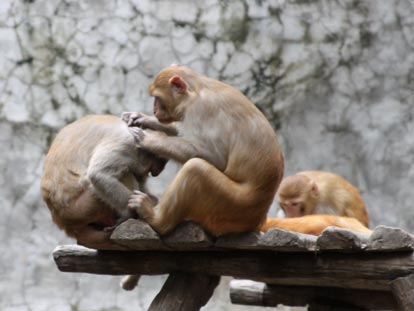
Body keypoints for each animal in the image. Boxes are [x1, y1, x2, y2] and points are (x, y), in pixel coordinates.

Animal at [125, 65, 284, 236]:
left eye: (157, 98)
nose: (154, 111)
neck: (196, 89)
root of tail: (257, 220)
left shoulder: (201, 109)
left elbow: (216, 157)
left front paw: (148, 139)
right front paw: (142, 118)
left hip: (233, 207)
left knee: (196, 168)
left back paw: (155, 219)